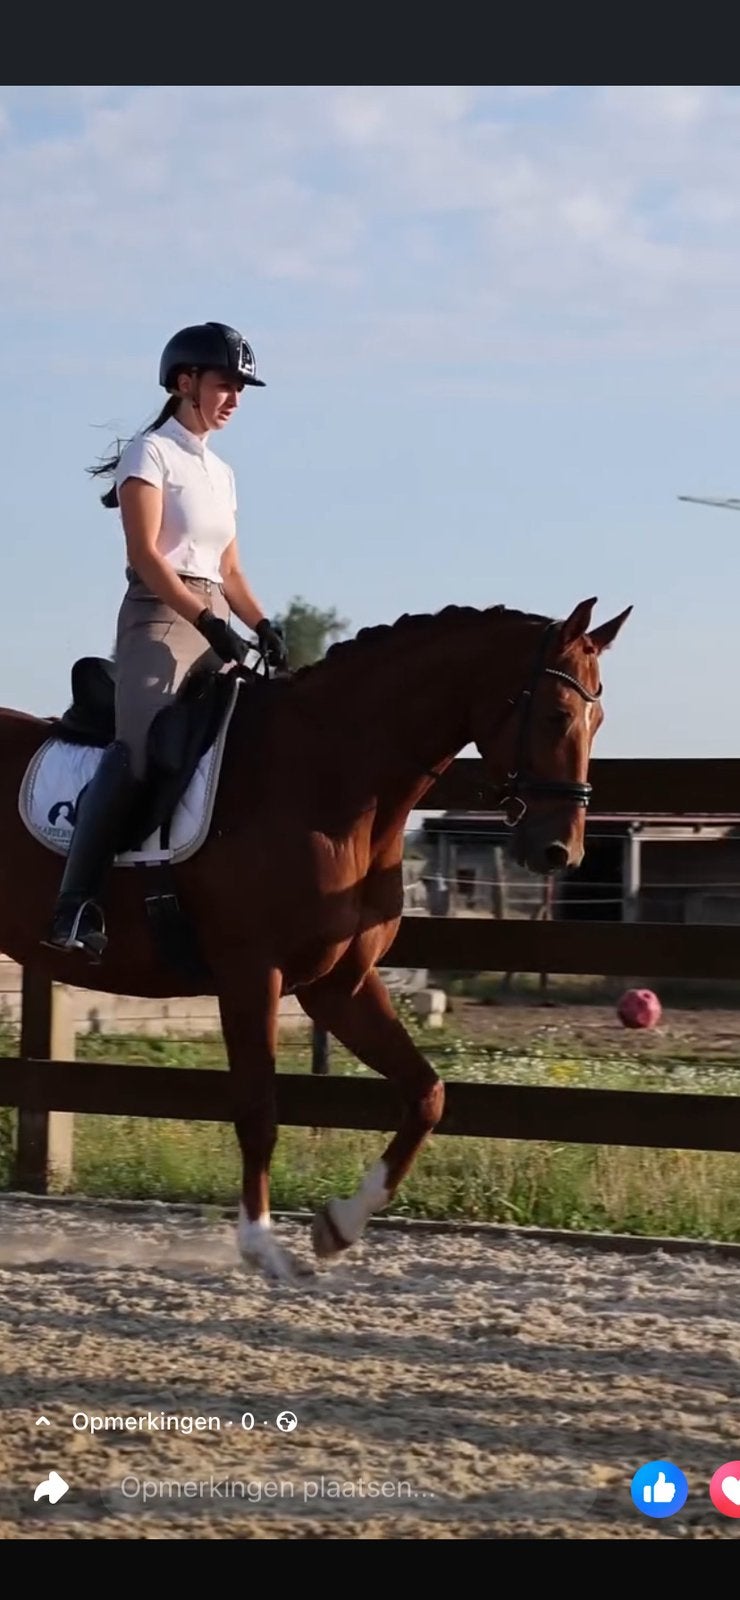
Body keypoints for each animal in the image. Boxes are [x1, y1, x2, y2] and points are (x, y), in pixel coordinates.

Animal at [0, 594, 631, 1282]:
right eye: (556, 714)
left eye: (598, 719)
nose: (560, 851)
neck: (326, 778)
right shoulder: (252, 977)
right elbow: (259, 1110)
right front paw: (263, 1246)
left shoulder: (339, 985)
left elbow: (427, 1094)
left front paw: (339, 1225)